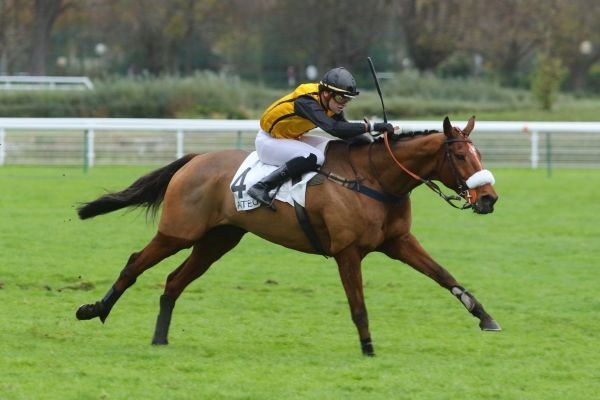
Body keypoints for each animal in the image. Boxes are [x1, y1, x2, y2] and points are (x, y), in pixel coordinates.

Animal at [75, 116, 502, 356]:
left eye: (480, 153)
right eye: (460, 156)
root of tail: (194, 159)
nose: (489, 198)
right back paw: (95, 309)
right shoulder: (348, 251)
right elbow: (358, 304)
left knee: (174, 281)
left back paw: (160, 338)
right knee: (135, 264)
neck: (375, 178)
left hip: (217, 241)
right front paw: (367, 346)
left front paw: (485, 317)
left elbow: (445, 276)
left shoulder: (398, 242)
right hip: (178, 231)